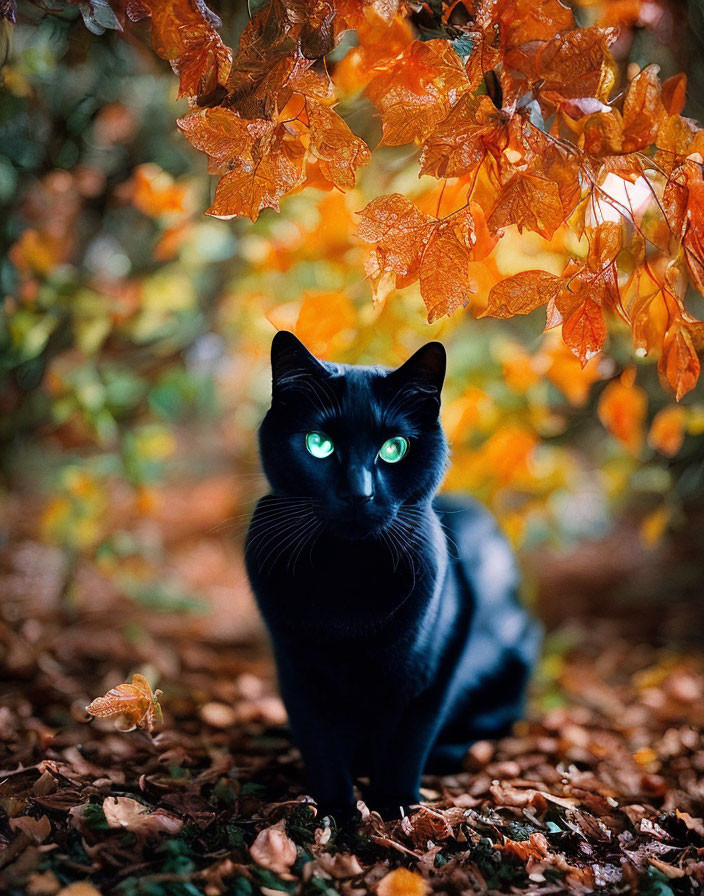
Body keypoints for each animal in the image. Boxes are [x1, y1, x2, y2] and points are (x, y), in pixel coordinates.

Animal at [245, 330, 540, 820]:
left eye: (394, 449)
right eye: (318, 444)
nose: (358, 493)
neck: (346, 576)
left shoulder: (435, 664)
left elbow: (408, 741)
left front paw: (396, 807)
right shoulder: (296, 666)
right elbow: (319, 742)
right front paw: (336, 812)